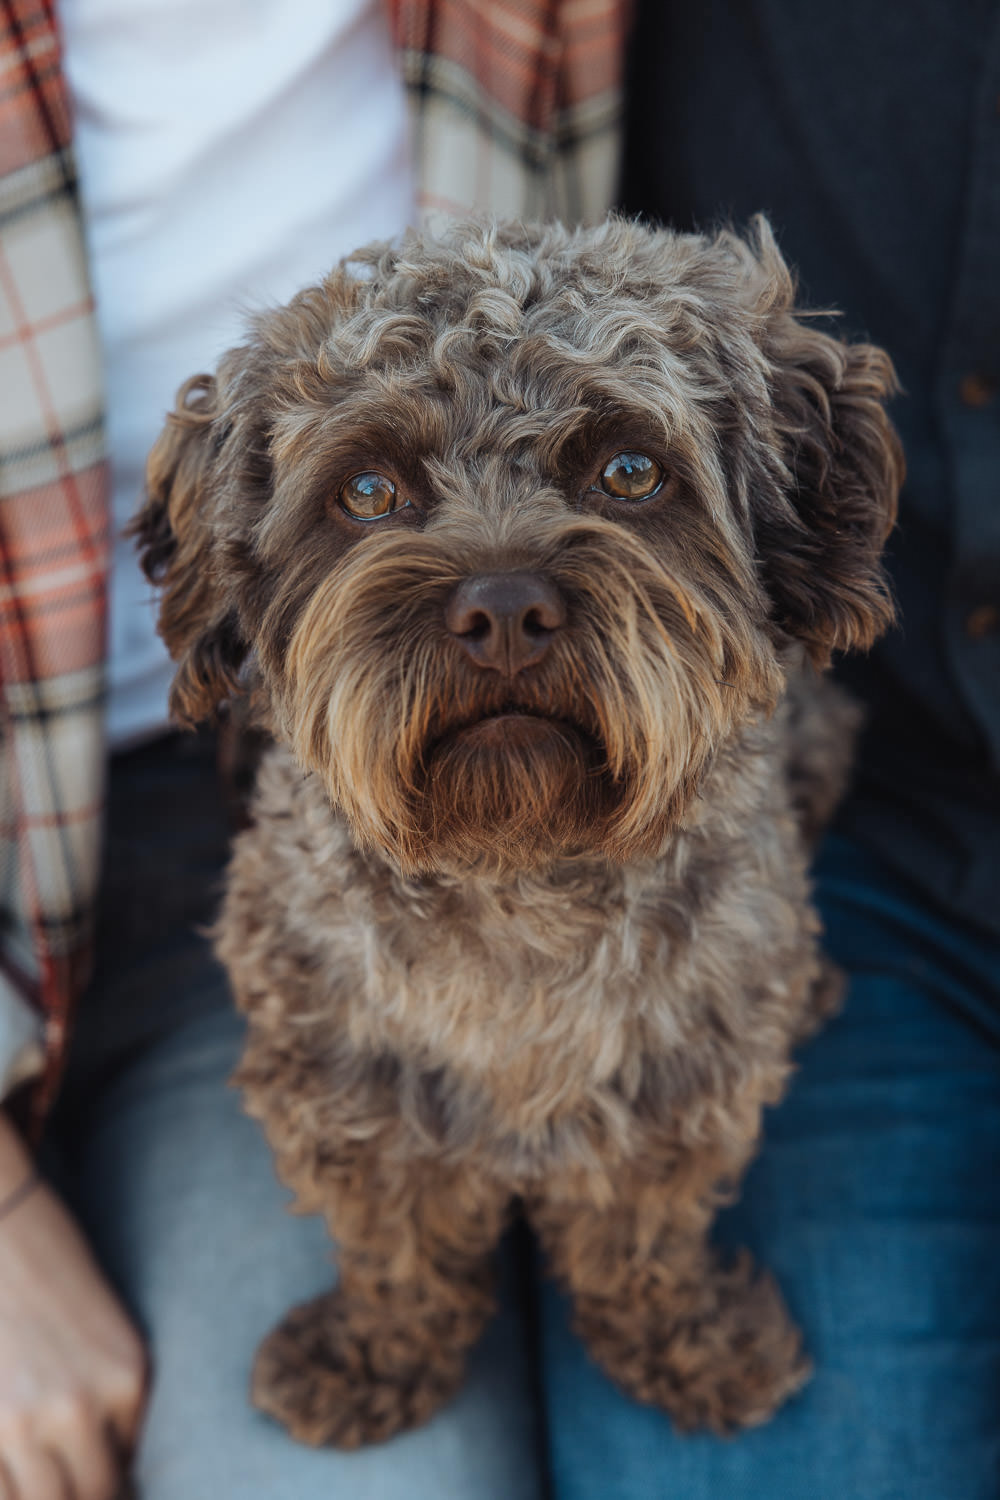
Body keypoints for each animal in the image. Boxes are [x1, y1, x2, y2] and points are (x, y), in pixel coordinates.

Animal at [128, 217, 905, 1446]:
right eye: (368, 489)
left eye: (630, 472)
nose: (501, 608)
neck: (517, 884)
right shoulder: (348, 1087)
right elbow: (395, 1242)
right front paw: (378, 1352)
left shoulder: (675, 1092)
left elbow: (642, 1231)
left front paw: (680, 1339)